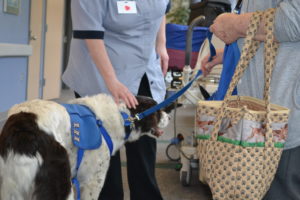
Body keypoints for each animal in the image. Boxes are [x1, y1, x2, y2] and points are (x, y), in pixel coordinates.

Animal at [0, 94, 169, 200]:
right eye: (157, 109)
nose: (169, 116)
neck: (123, 116)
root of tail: (24, 132)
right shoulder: (92, 181)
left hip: (10, 189)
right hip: (61, 185)